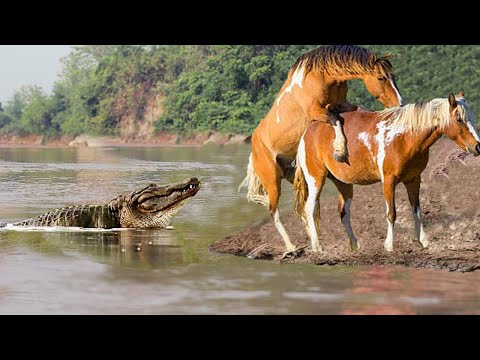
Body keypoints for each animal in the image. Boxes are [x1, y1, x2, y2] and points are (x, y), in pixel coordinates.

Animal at [238, 45, 404, 256]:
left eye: (394, 76)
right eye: (381, 78)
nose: (400, 104)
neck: (320, 76)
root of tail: (254, 150)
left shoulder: (342, 104)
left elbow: (355, 110)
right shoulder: (317, 111)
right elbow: (335, 119)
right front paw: (340, 149)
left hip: (295, 175)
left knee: (303, 207)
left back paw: (314, 242)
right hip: (272, 183)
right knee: (274, 213)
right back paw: (292, 247)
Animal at [292, 94, 480, 255]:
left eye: (472, 117)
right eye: (459, 119)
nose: (477, 146)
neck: (404, 137)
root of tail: (308, 132)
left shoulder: (413, 180)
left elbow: (417, 212)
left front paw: (424, 242)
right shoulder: (389, 181)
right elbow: (391, 213)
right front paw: (389, 245)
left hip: (344, 183)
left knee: (343, 213)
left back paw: (354, 245)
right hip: (316, 179)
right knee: (310, 209)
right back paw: (317, 247)